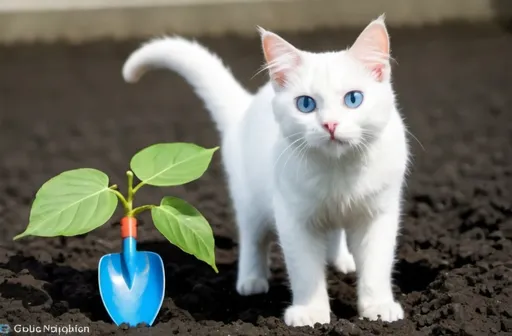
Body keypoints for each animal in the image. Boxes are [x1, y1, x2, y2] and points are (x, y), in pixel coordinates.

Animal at [122, 14, 406, 326]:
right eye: (305, 104)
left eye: (353, 99)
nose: (330, 124)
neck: (338, 170)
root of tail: (245, 109)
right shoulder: (294, 218)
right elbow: (306, 270)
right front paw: (311, 313)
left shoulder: (379, 213)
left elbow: (376, 266)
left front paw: (378, 307)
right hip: (250, 203)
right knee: (252, 239)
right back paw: (252, 281)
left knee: (334, 232)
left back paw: (342, 260)